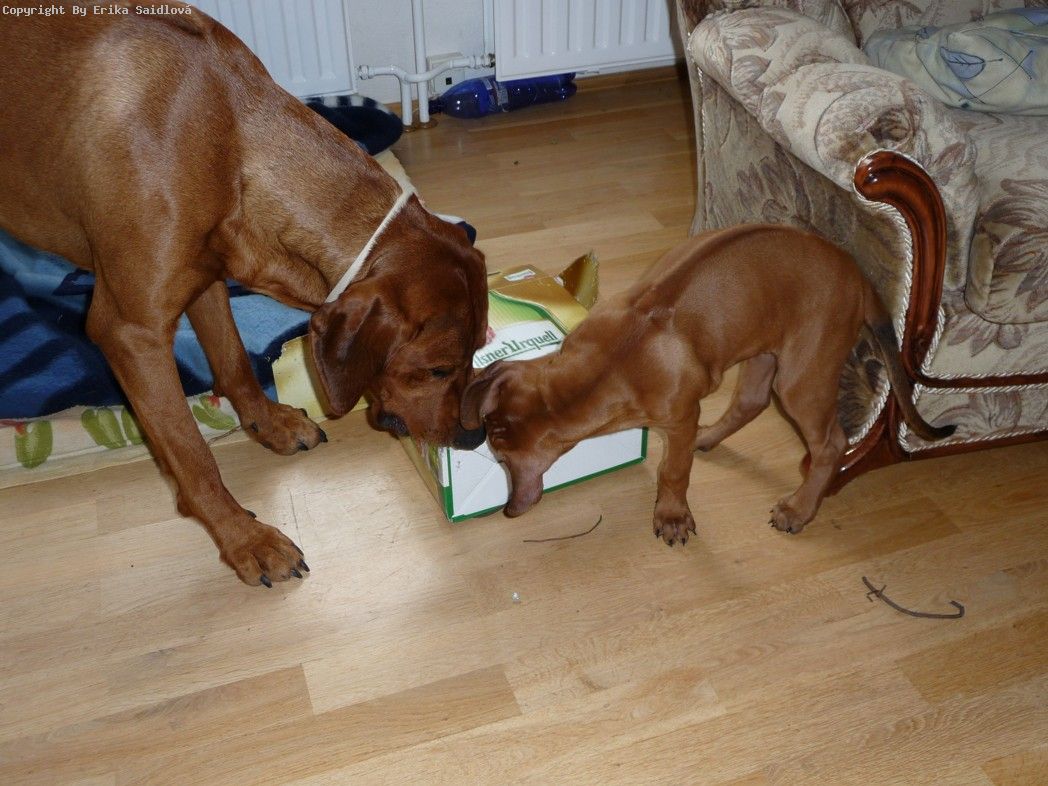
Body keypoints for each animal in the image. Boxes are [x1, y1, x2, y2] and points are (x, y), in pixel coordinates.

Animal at [0, 2, 488, 587]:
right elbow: (193, 456)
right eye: (437, 369)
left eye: (479, 350)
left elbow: (232, 360)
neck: (227, 135)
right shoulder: (130, 332)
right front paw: (245, 539)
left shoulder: (207, 272)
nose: (477, 436)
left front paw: (268, 423)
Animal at [461, 224, 954, 542]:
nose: (507, 511)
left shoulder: (679, 416)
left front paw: (672, 516)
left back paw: (799, 508)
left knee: (831, 443)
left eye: (502, 461)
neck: (613, 361)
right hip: (761, 348)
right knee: (750, 401)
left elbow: (674, 471)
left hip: (802, 375)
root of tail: (859, 276)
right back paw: (711, 436)